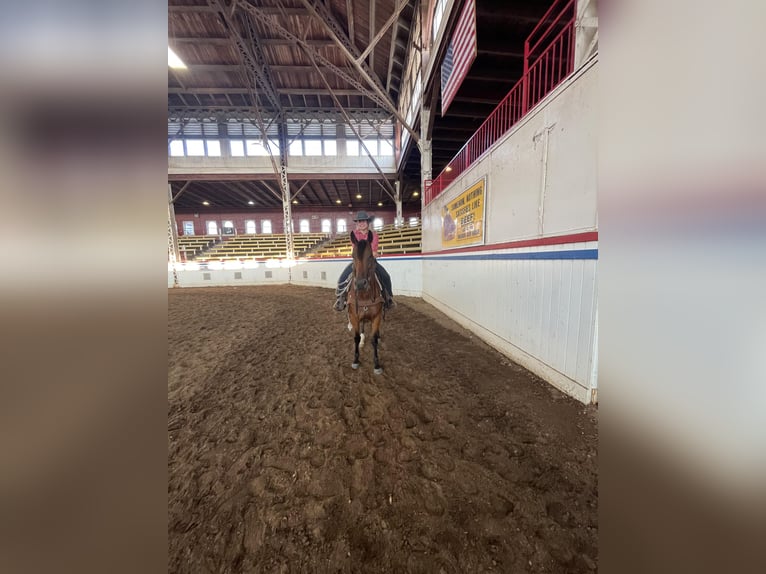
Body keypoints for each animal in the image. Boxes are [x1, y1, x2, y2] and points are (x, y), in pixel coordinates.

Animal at [346, 232, 388, 376]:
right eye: (353, 256)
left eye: (370, 256)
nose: (360, 284)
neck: (364, 296)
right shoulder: (354, 316)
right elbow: (356, 337)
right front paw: (355, 360)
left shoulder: (377, 316)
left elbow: (374, 340)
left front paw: (377, 364)